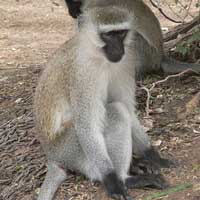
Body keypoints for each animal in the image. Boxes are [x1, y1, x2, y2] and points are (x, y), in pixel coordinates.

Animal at [35, 2, 168, 199]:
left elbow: (129, 109)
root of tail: (50, 155)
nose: (118, 49)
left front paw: (152, 155)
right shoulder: (83, 73)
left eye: (121, 33)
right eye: (108, 35)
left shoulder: (126, 61)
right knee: (116, 112)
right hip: (68, 149)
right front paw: (112, 181)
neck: (98, 55)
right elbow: (87, 125)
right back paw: (125, 179)